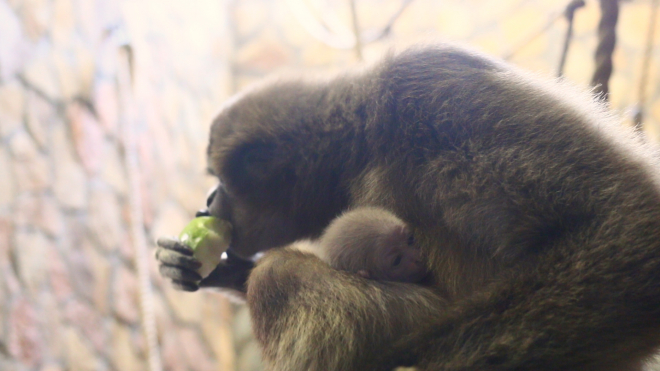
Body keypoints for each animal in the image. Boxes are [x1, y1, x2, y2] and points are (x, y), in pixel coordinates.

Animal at [156, 45, 660, 370]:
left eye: (220, 180)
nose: (208, 202)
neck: (365, 141)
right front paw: (212, 267)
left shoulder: (426, 84)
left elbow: (631, 219)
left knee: (278, 276)